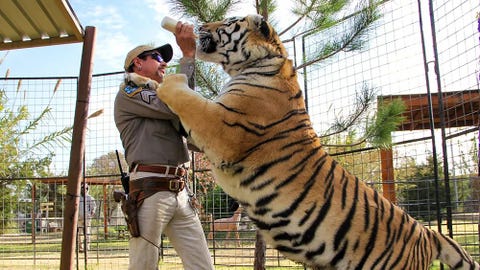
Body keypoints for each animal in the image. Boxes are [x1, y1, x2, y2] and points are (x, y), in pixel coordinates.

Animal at [128, 14, 480, 270]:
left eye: (227, 22)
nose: (199, 26)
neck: (260, 63)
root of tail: (428, 233)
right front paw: (138, 78)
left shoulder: (221, 127)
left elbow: (182, 93)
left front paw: (156, 78)